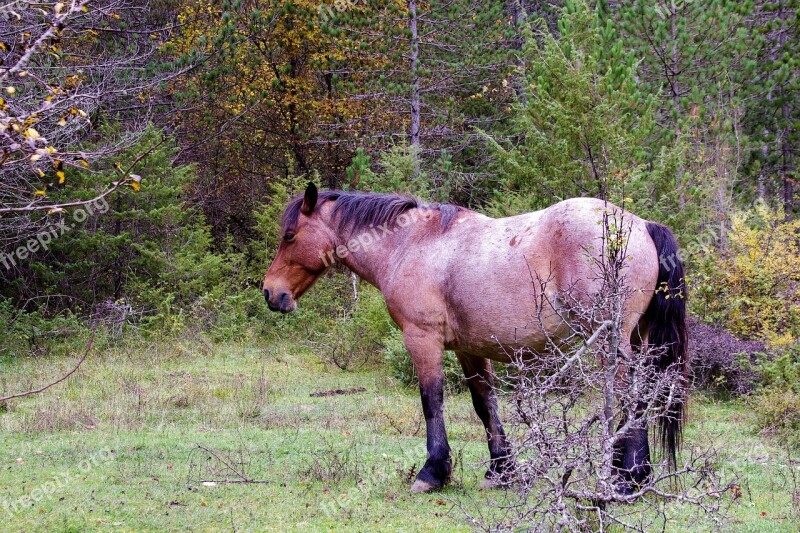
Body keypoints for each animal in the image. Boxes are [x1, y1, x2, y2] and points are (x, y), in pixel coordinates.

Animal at [262, 183, 688, 494]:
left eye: (289, 235)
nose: (270, 292)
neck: (411, 245)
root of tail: (640, 225)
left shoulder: (422, 340)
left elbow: (431, 402)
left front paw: (433, 472)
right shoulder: (471, 350)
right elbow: (485, 406)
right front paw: (501, 472)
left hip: (608, 341)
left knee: (629, 394)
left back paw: (627, 477)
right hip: (635, 338)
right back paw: (636, 473)